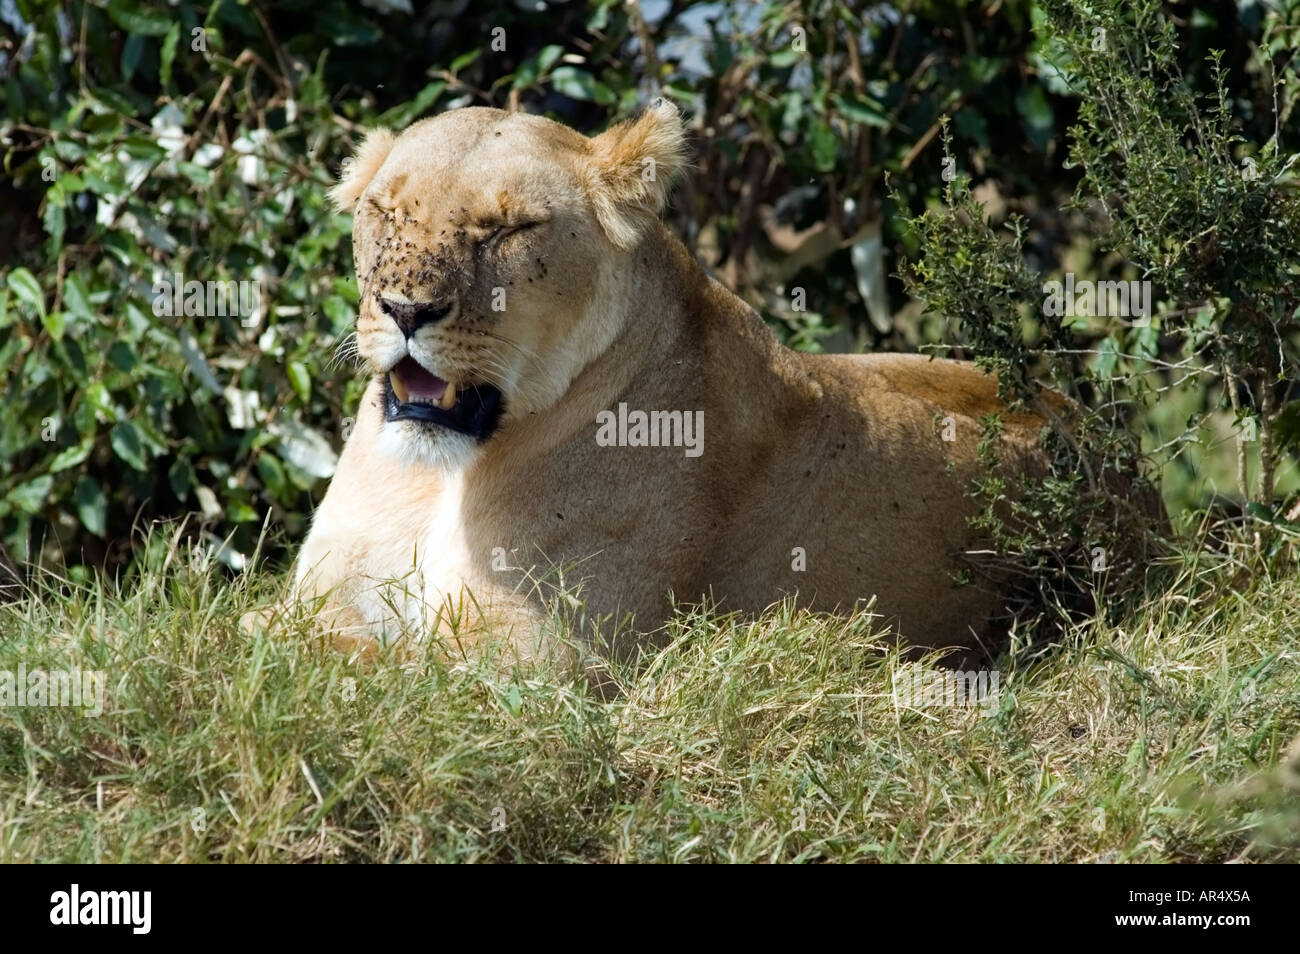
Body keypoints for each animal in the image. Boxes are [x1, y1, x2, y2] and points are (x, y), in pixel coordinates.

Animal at [290, 100, 1073, 667]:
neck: (443, 478)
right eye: (385, 211)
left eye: (509, 229)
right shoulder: (321, 600)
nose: (404, 309)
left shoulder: (538, 663)